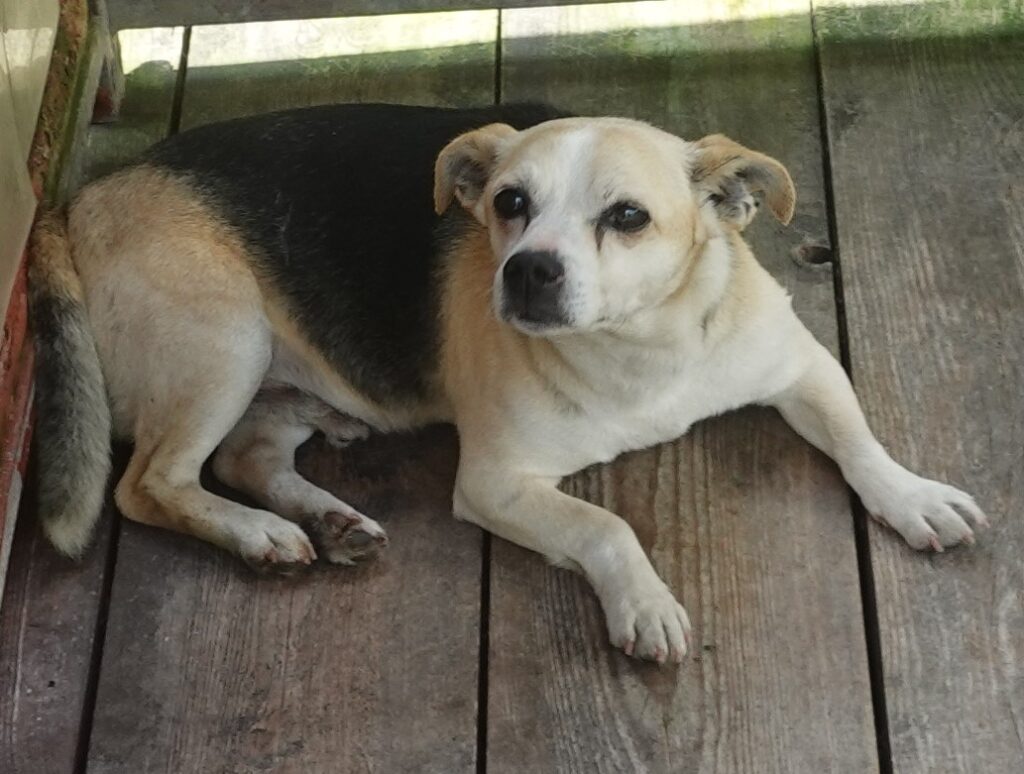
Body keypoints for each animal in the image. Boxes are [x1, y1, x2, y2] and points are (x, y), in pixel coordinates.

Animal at [30, 103, 987, 664]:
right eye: (507, 204)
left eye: (628, 218)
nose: (526, 270)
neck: (641, 347)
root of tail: (78, 200)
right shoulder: (497, 483)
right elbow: (604, 526)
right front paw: (644, 602)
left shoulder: (803, 366)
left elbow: (861, 442)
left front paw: (912, 498)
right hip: (229, 343)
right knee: (150, 484)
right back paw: (258, 533)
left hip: (268, 376)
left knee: (246, 457)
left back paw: (326, 519)